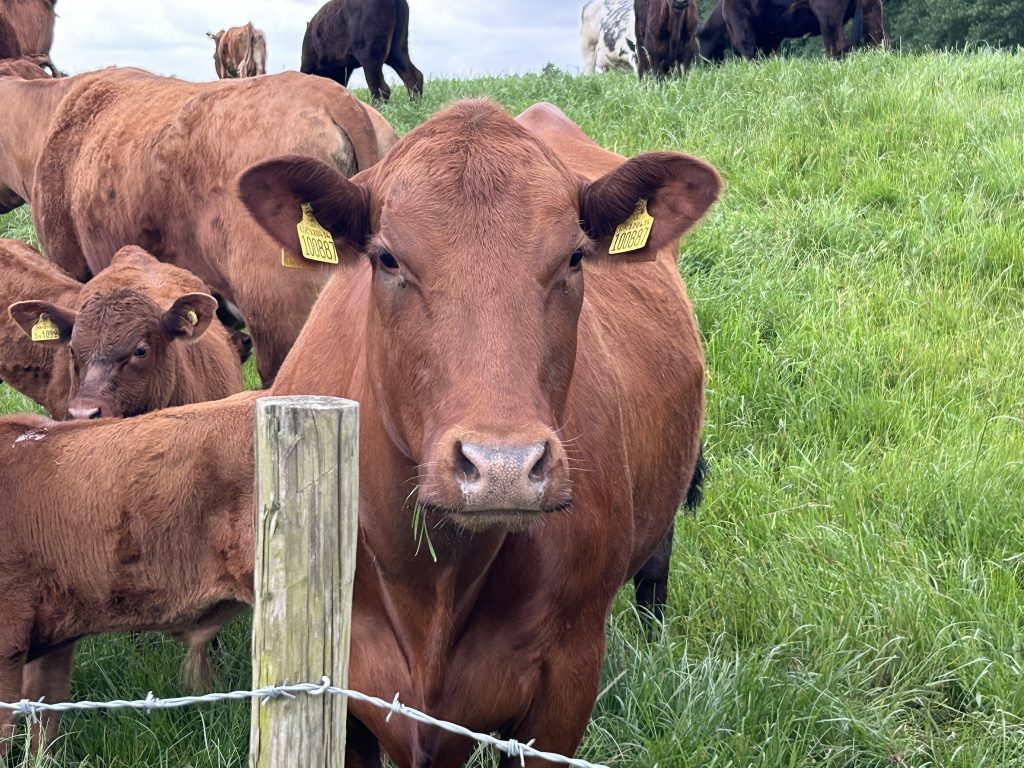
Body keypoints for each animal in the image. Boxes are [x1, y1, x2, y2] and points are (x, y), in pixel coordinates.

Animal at [239, 99, 720, 765]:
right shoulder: (339, 689)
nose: (503, 468)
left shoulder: (566, 682)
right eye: (387, 258)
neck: (434, 584)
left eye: (575, 257)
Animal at [700, 0, 884, 60]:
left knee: (836, 47)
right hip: (871, 9)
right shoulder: (771, 36)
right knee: (876, 40)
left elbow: (749, 53)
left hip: (827, 14)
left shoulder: (740, 25)